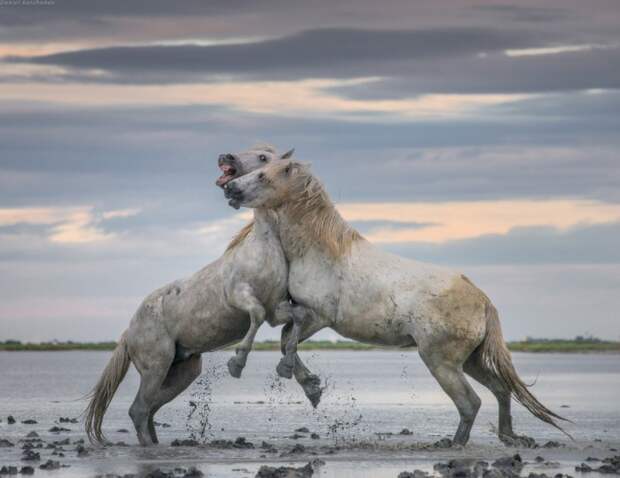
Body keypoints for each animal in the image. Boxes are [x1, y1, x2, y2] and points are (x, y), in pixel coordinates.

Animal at [85, 145, 322, 444]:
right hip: (156, 366)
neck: (264, 247)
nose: (226, 157)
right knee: (138, 410)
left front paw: (301, 377)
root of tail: (128, 333)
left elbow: (297, 316)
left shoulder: (275, 309)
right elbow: (255, 316)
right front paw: (238, 363)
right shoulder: (240, 296)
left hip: (183, 371)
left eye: (264, 158)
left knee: (148, 409)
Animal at [224, 159, 572, 446]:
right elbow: (286, 339)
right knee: (501, 390)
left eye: (263, 175)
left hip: (441, 361)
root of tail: (483, 301)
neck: (321, 251)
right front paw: (311, 387)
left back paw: (453, 443)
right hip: (470, 360)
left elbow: (287, 340)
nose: (230, 188)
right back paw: (510, 437)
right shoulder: (305, 315)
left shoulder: (318, 316)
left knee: (471, 401)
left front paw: (302, 382)